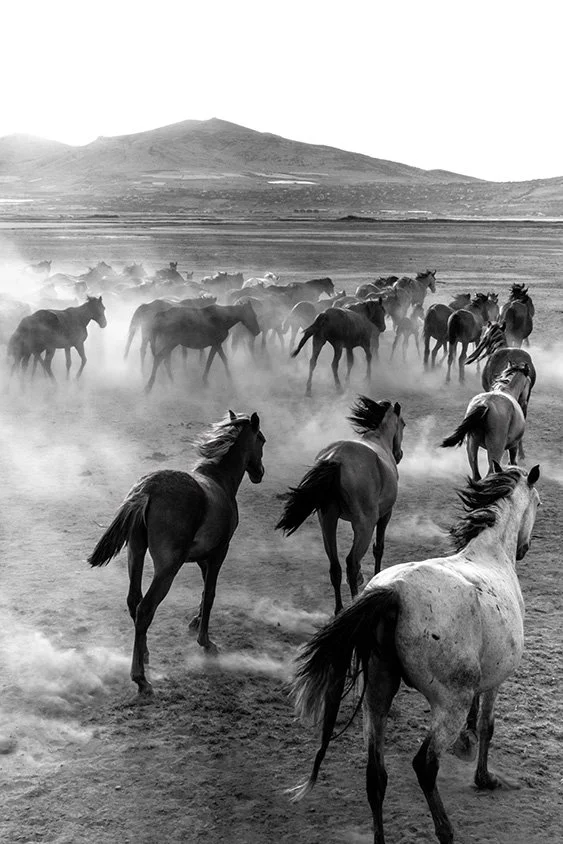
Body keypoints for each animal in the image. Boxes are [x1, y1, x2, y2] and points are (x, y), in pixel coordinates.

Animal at [88, 411, 266, 695]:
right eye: (262, 440)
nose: (260, 472)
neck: (219, 481)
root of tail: (148, 489)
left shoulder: (202, 557)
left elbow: (204, 590)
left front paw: (195, 621)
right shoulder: (219, 552)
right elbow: (211, 593)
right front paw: (205, 641)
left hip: (136, 553)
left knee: (134, 601)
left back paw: (145, 655)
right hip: (167, 568)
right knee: (145, 609)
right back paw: (140, 678)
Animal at [276, 397, 404, 614]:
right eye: (403, 423)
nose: (399, 454)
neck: (378, 440)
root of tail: (336, 458)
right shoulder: (385, 515)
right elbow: (378, 548)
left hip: (328, 521)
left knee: (335, 566)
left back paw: (339, 609)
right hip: (364, 524)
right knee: (351, 563)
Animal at [288, 463, 540, 844]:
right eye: (538, 502)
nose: (524, 548)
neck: (490, 556)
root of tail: (394, 591)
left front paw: (467, 746)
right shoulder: (494, 681)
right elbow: (487, 725)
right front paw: (483, 777)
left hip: (377, 697)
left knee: (375, 776)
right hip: (448, 703)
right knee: (424, 764)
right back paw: (445, 830)